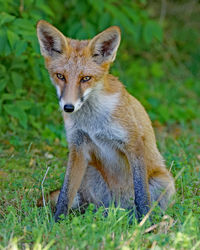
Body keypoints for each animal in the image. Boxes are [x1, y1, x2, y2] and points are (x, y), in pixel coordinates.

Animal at [36, 20, 175, 222]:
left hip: (164, 181)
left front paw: (144, 223)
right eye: (60, 76)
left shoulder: (133, 143)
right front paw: (56, 223)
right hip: (90, 173)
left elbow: (142, 195)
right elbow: (65, 194)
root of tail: (120, 205)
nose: (68, 107)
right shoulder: (78, 146)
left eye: (86, 78)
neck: (92, 122)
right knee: (92, 206)